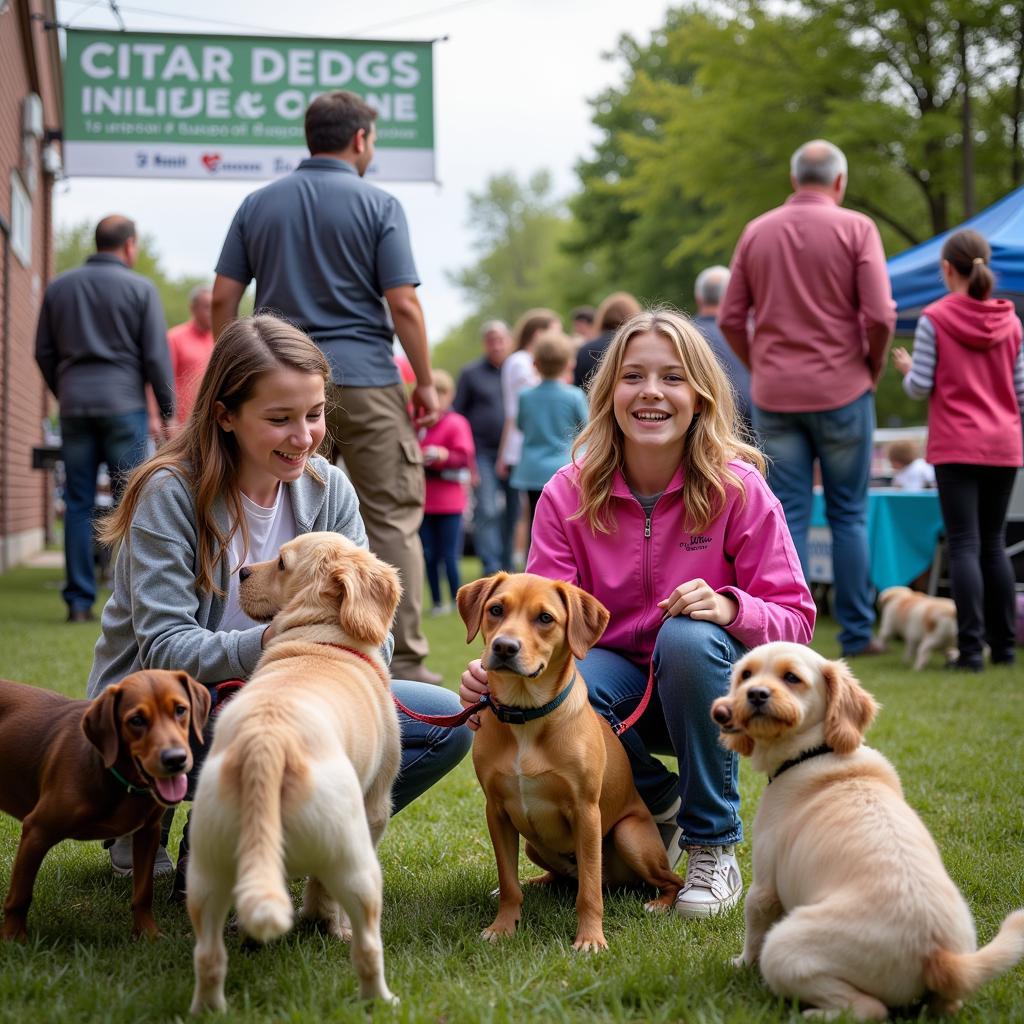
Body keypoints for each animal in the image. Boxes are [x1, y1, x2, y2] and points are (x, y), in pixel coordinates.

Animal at [0, 667, 209, 937]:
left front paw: (148, 933)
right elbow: (19, 896)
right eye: (136, 720)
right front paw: (14, 938)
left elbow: (144, 893)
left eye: (181, 710)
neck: (119, 780)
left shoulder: (148, 833)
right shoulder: (37, 830)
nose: (176, 760)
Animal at [186, 532, 401, 1011]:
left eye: (282, 564)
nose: (242, 573)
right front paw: (325, 922)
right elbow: (322, 891)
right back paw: (380, 999)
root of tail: (266, 743)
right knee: (369, 947)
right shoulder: (375, 807)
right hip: (356, 861)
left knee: (208, 957)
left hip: (206, 872)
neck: (321, 635)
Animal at [460, 573, 684, 954]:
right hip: (534, 844)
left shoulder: (586, 812)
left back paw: (659, 903)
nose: (504, 647)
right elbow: (508, 881)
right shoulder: (497, 812)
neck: (526, 716)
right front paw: (503, 927)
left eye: (545, 618)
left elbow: (589, 893)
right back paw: (537, 883)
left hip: (629, 836)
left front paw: (591, 938)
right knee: (561, 878)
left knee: (669, 880)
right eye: (496, 609)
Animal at [712, 643, 1024, 1019]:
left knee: (869, 1009)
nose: (755, 694)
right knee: (945, 1006)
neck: (817, 751)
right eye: (745, 675)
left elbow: (753, 932)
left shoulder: (764, 886)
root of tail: (939, 956)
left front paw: (740, 964)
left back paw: (810, 1015)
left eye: (792, 677)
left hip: (785, 949)